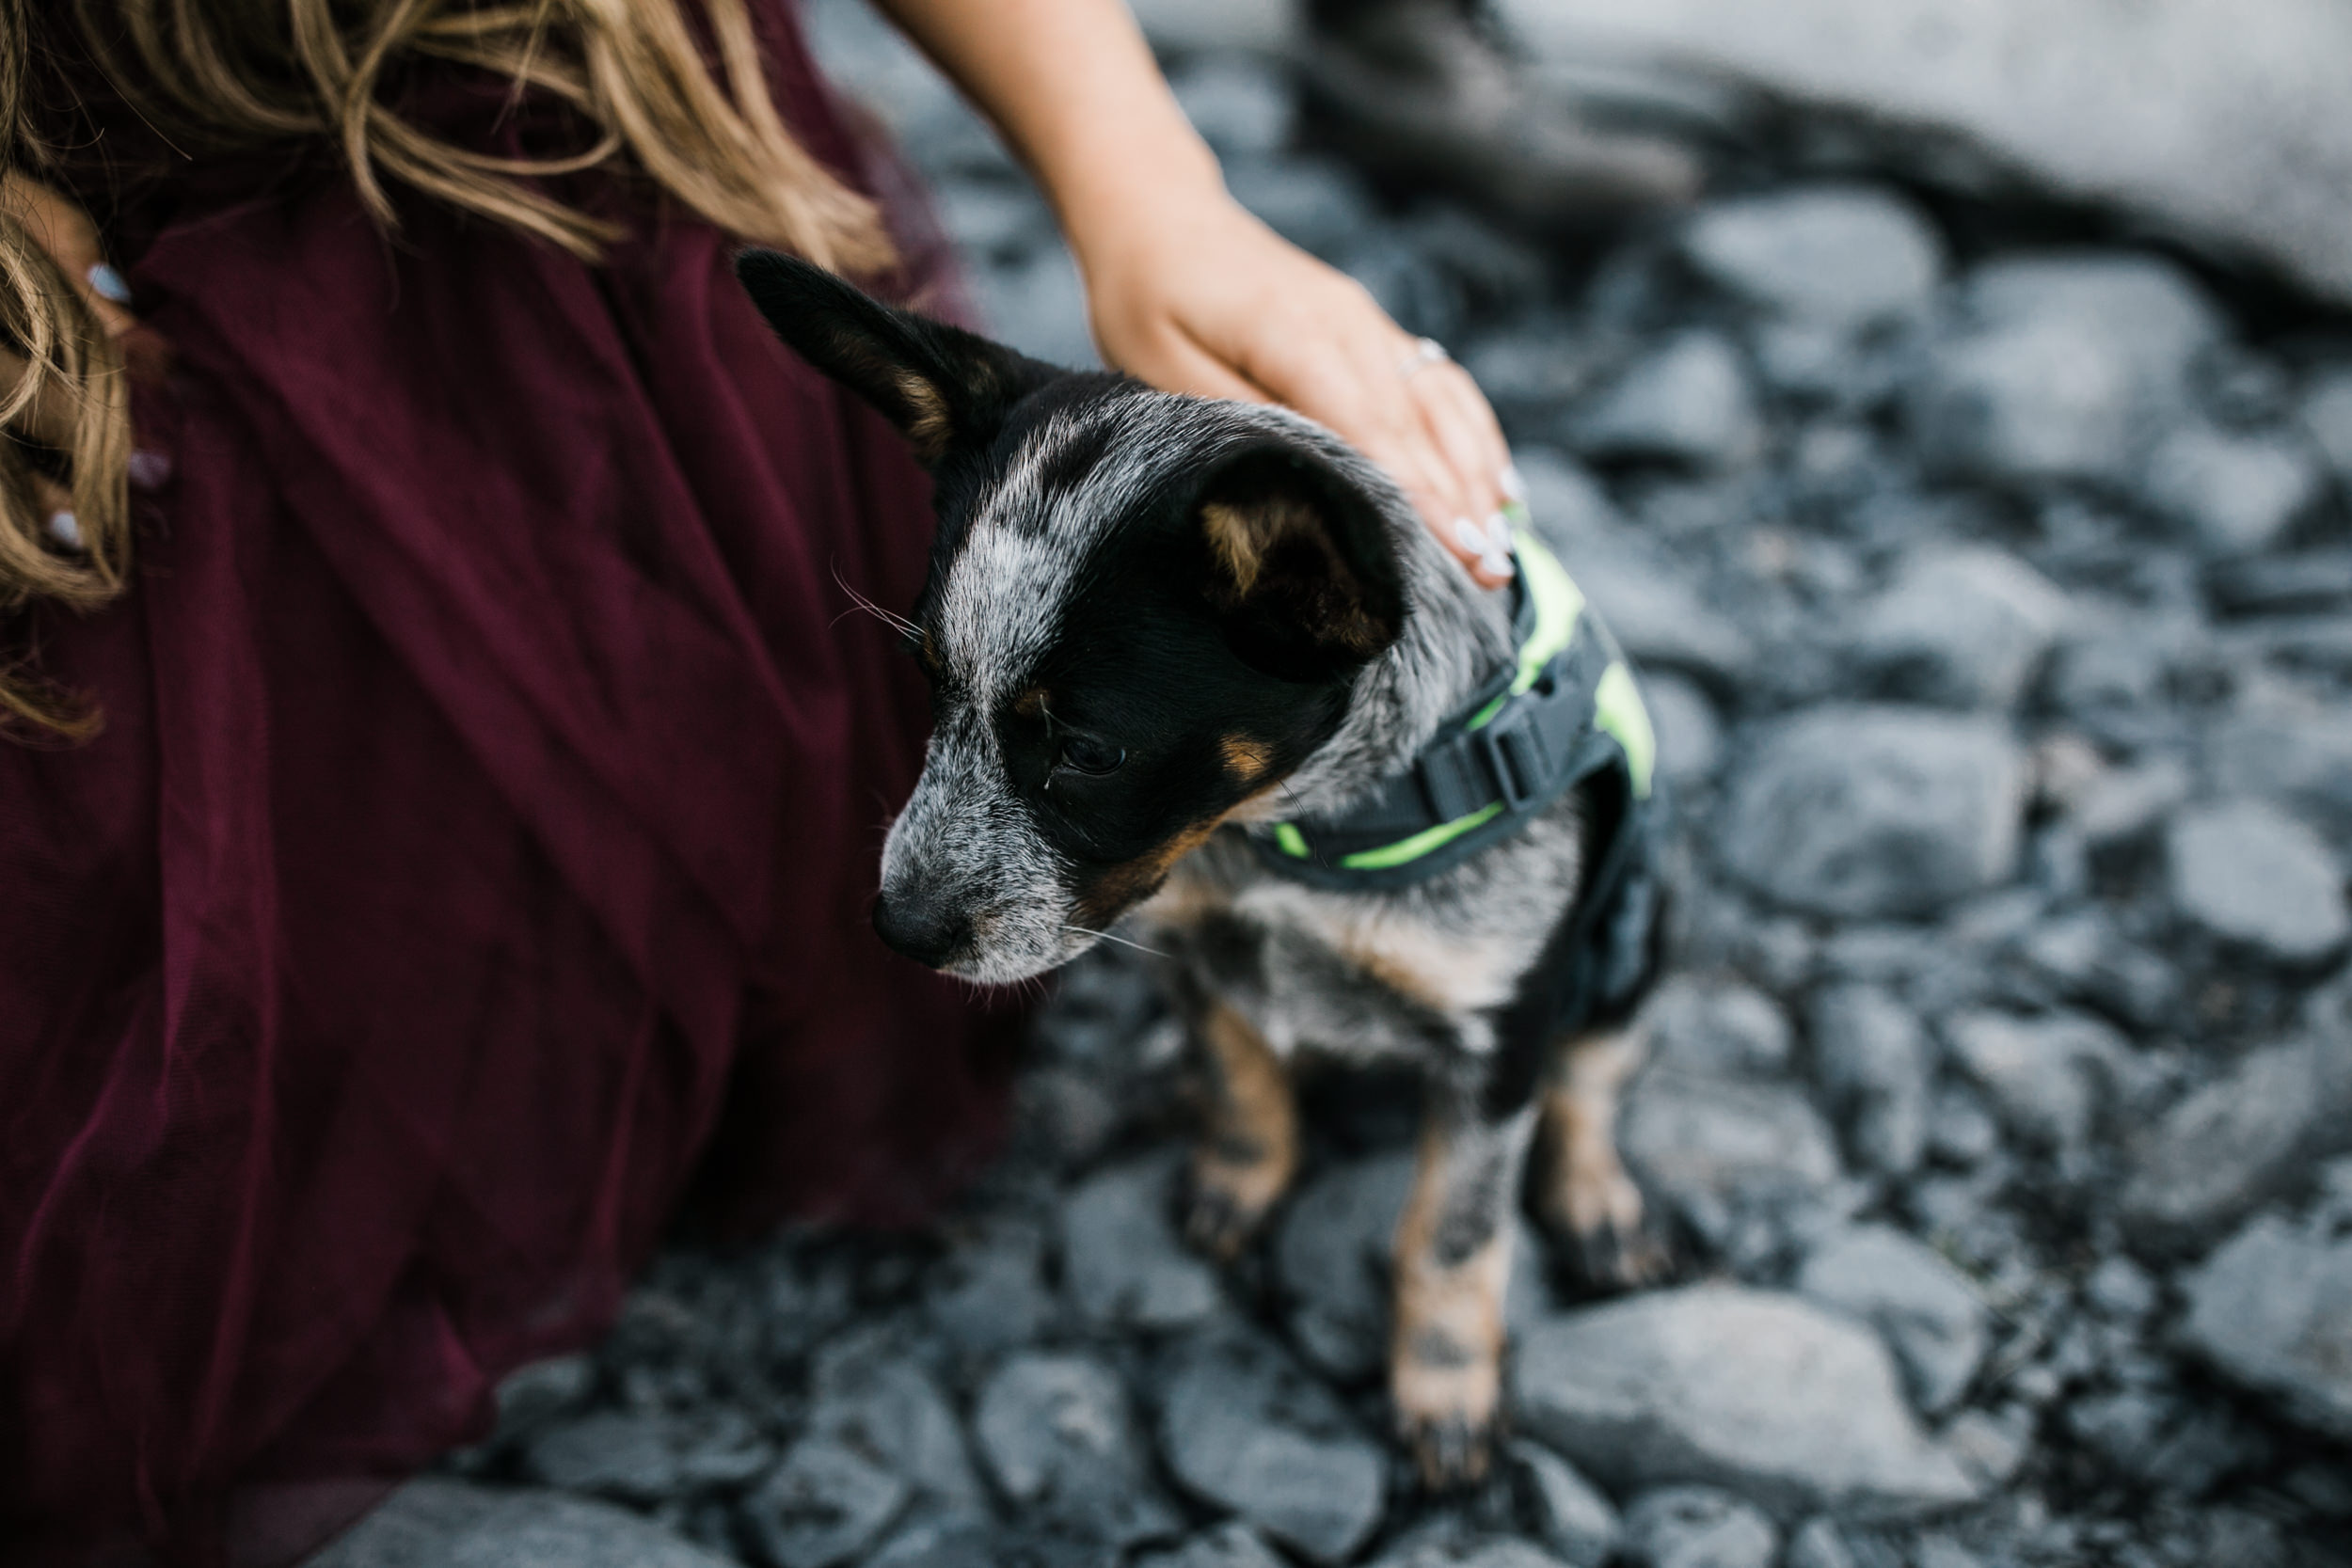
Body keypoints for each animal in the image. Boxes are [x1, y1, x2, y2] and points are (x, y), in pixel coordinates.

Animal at [739, 247, 1675, 1485]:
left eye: (1088, 750)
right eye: (931, 682)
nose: (897, 925)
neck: (1295, 842)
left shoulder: (1496, 1037)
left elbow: (1454, 1231)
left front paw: (1443, 1388)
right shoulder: (1190, 948)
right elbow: (1238, 1078)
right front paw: (1240, 1176)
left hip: (1636, 936)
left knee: (1595, 1071)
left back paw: (1599, 1199)